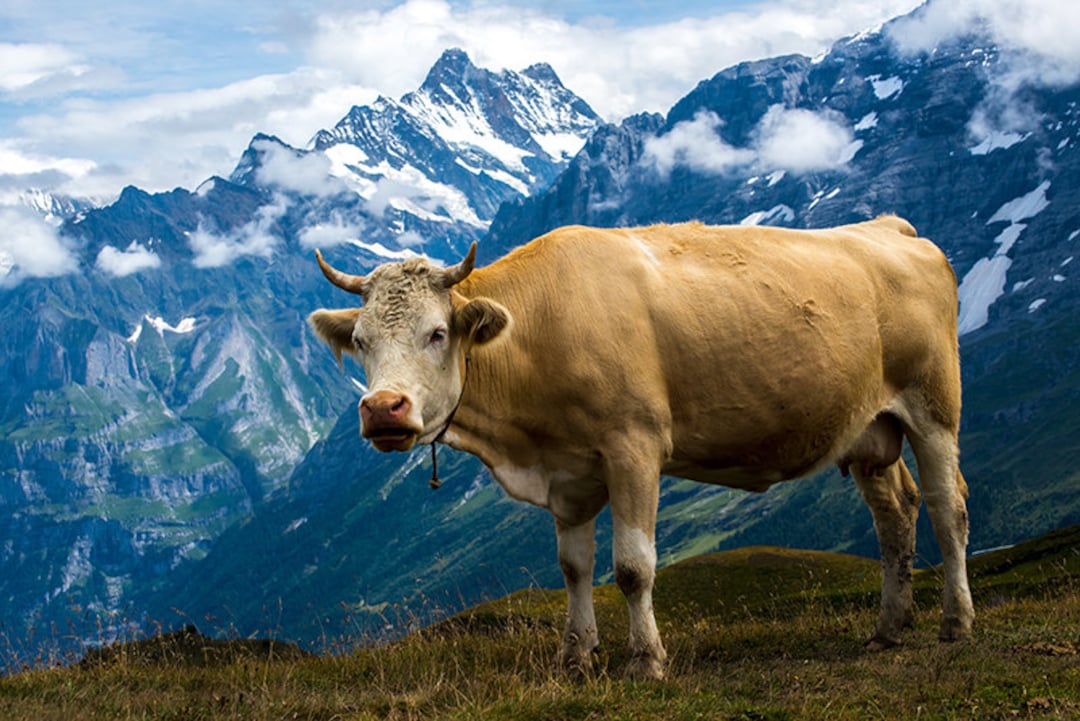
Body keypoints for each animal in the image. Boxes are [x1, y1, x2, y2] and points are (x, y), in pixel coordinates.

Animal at [308, 216, 973, 680]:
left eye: (438, 332)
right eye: (360, 341)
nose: (382, 409)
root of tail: (888, 228)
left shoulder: (634, 447)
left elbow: (632, 566)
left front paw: (646, 660)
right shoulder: (568, 475)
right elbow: (574, 568)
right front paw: (575, 658)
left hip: (933, 405)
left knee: (949, 507)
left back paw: (956, 620)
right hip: (870, 430)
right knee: (896, 515)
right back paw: (889, 627)